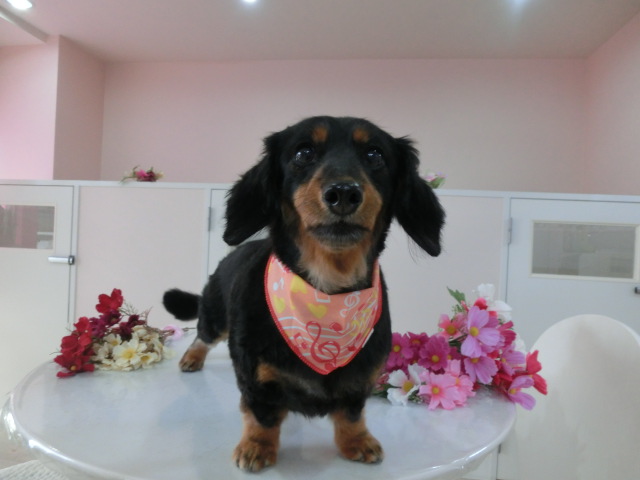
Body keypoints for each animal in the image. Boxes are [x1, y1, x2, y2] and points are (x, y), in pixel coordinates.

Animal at [163, 116, 444, 472]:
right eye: (303, 152)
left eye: (375, 155)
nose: (343, 193)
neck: (329, 291)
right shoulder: (255, 377)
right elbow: (262, 415)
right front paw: (256, 446)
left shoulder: (361, 378)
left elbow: (351, 413)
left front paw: (357, 440)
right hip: (215, 314)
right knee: (203, 334)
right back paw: (192, 358)